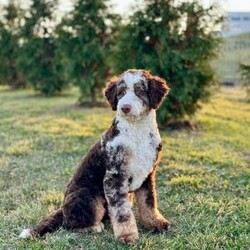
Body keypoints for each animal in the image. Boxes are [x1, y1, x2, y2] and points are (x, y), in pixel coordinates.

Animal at [20, 69, 170, 244]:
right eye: (121, 92)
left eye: (139, 91)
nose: (124, 107)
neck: (136, 134)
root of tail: (62, 210)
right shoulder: (114, 178)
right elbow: (122, 213)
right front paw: (127, 236)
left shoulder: (147, 175)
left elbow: (149, 203)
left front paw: (155, 223)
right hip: (89, 198)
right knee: (70, 224)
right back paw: (95, 226)